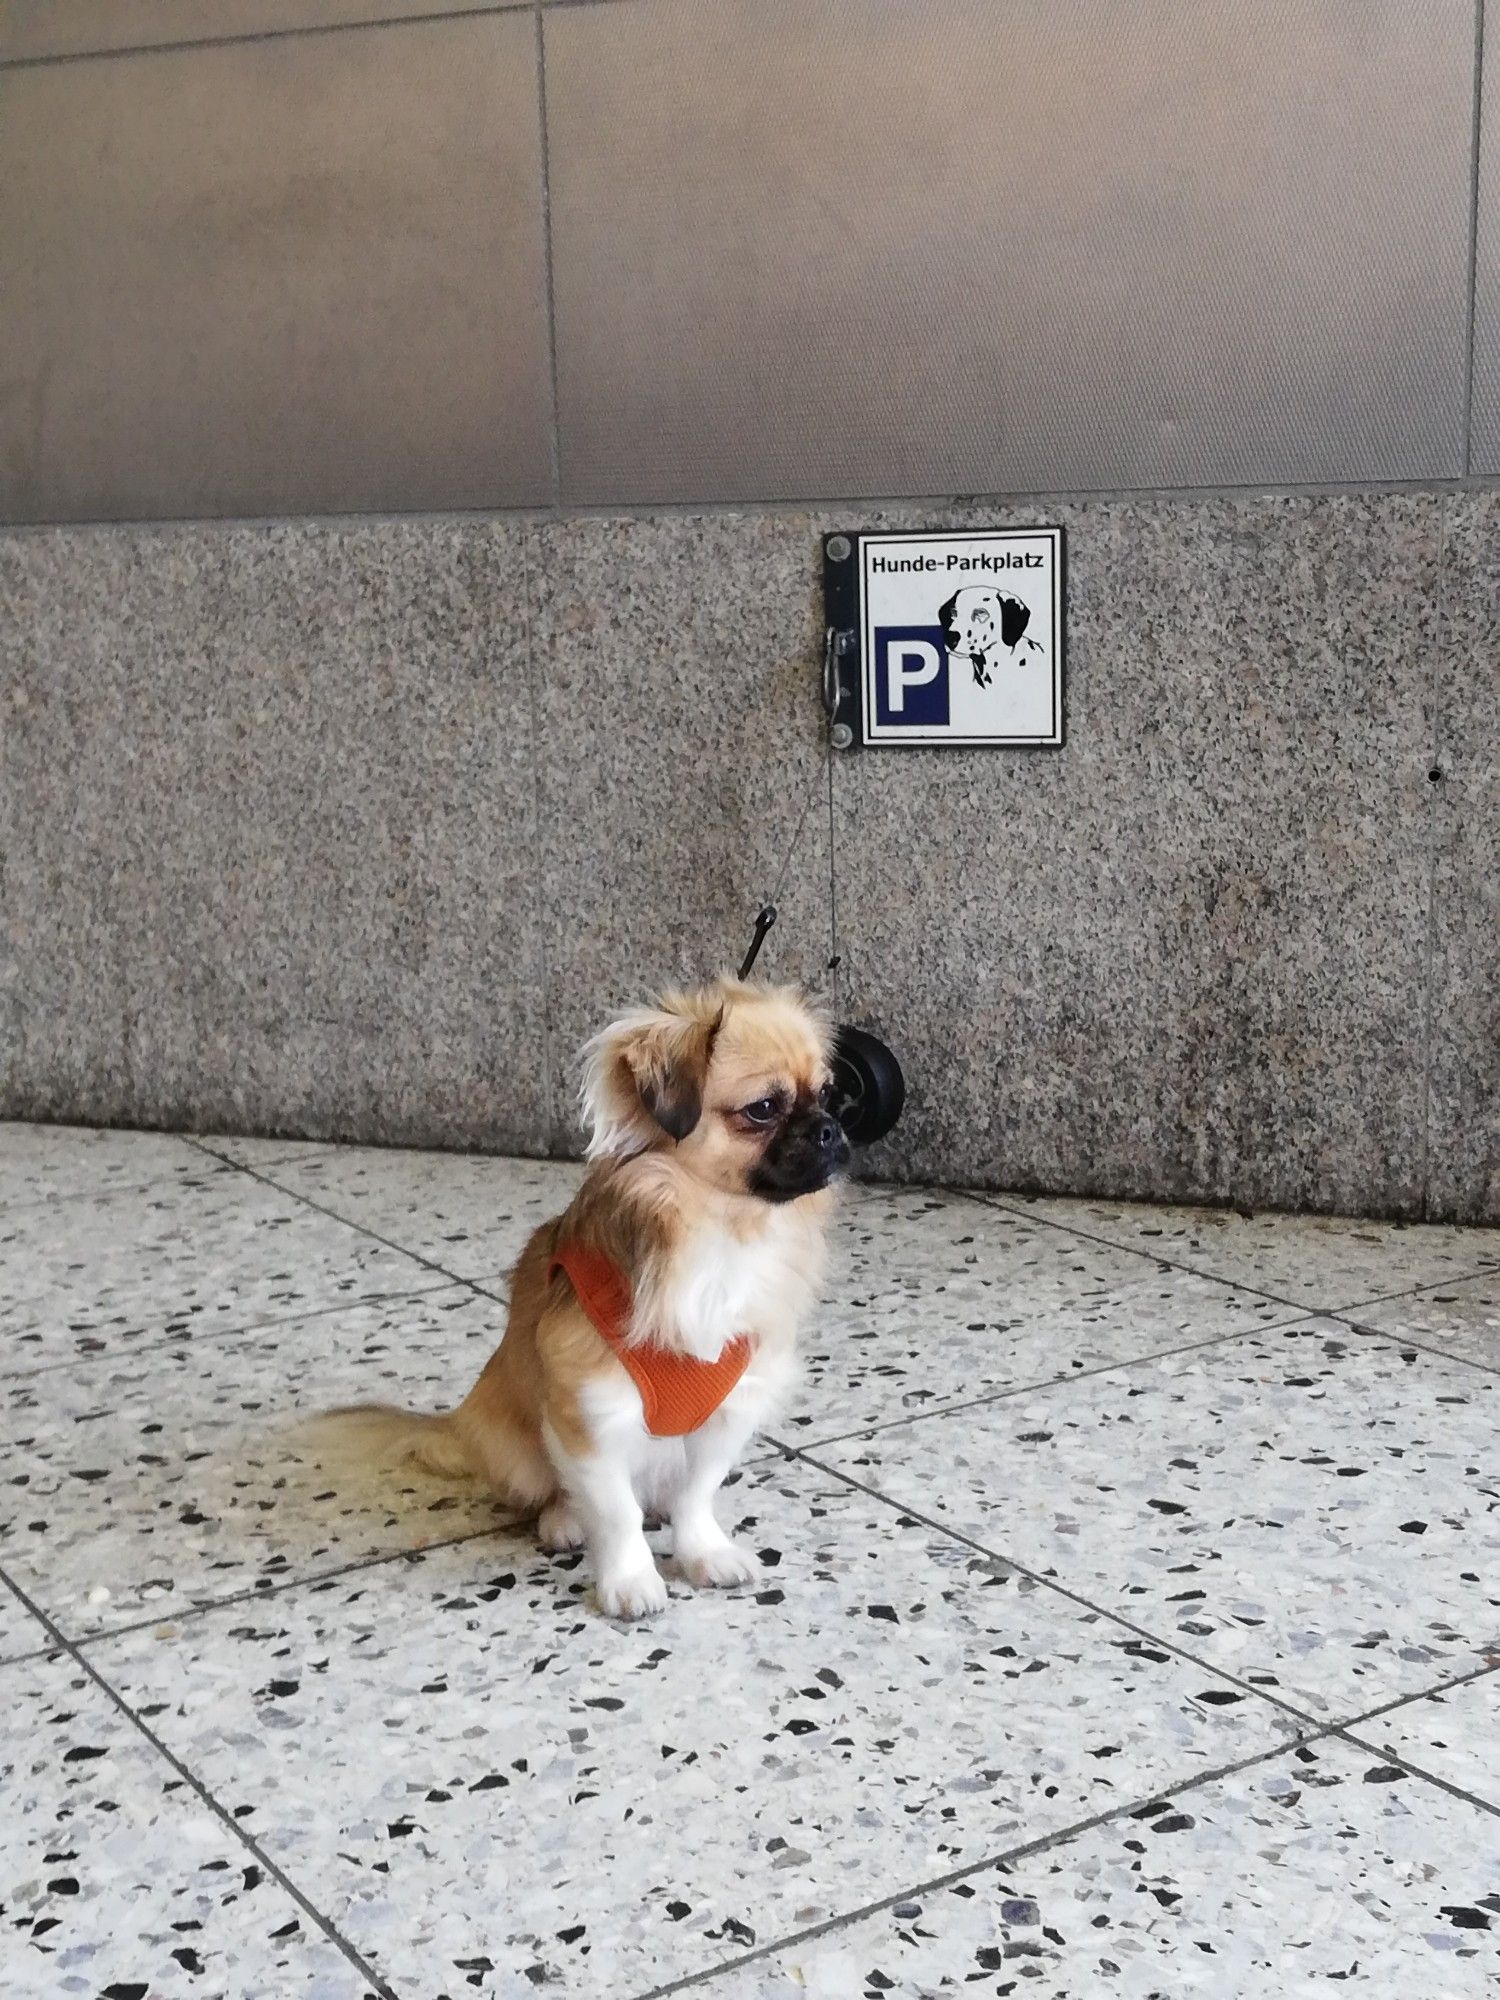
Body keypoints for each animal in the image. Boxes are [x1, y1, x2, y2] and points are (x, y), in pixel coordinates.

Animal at [324, 976, 852, 1616]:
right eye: (765, 1108)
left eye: (828, 1095)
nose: (830, 1128)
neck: (721, 1230)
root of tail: (458, 1425)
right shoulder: (590, 1415)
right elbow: (616, 1512)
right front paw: (630, 1580)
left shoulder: (728, 1409)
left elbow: (696, 1496)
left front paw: (703, 1553)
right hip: (521, 1450)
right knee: (556, 1491)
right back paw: (563, 1520)